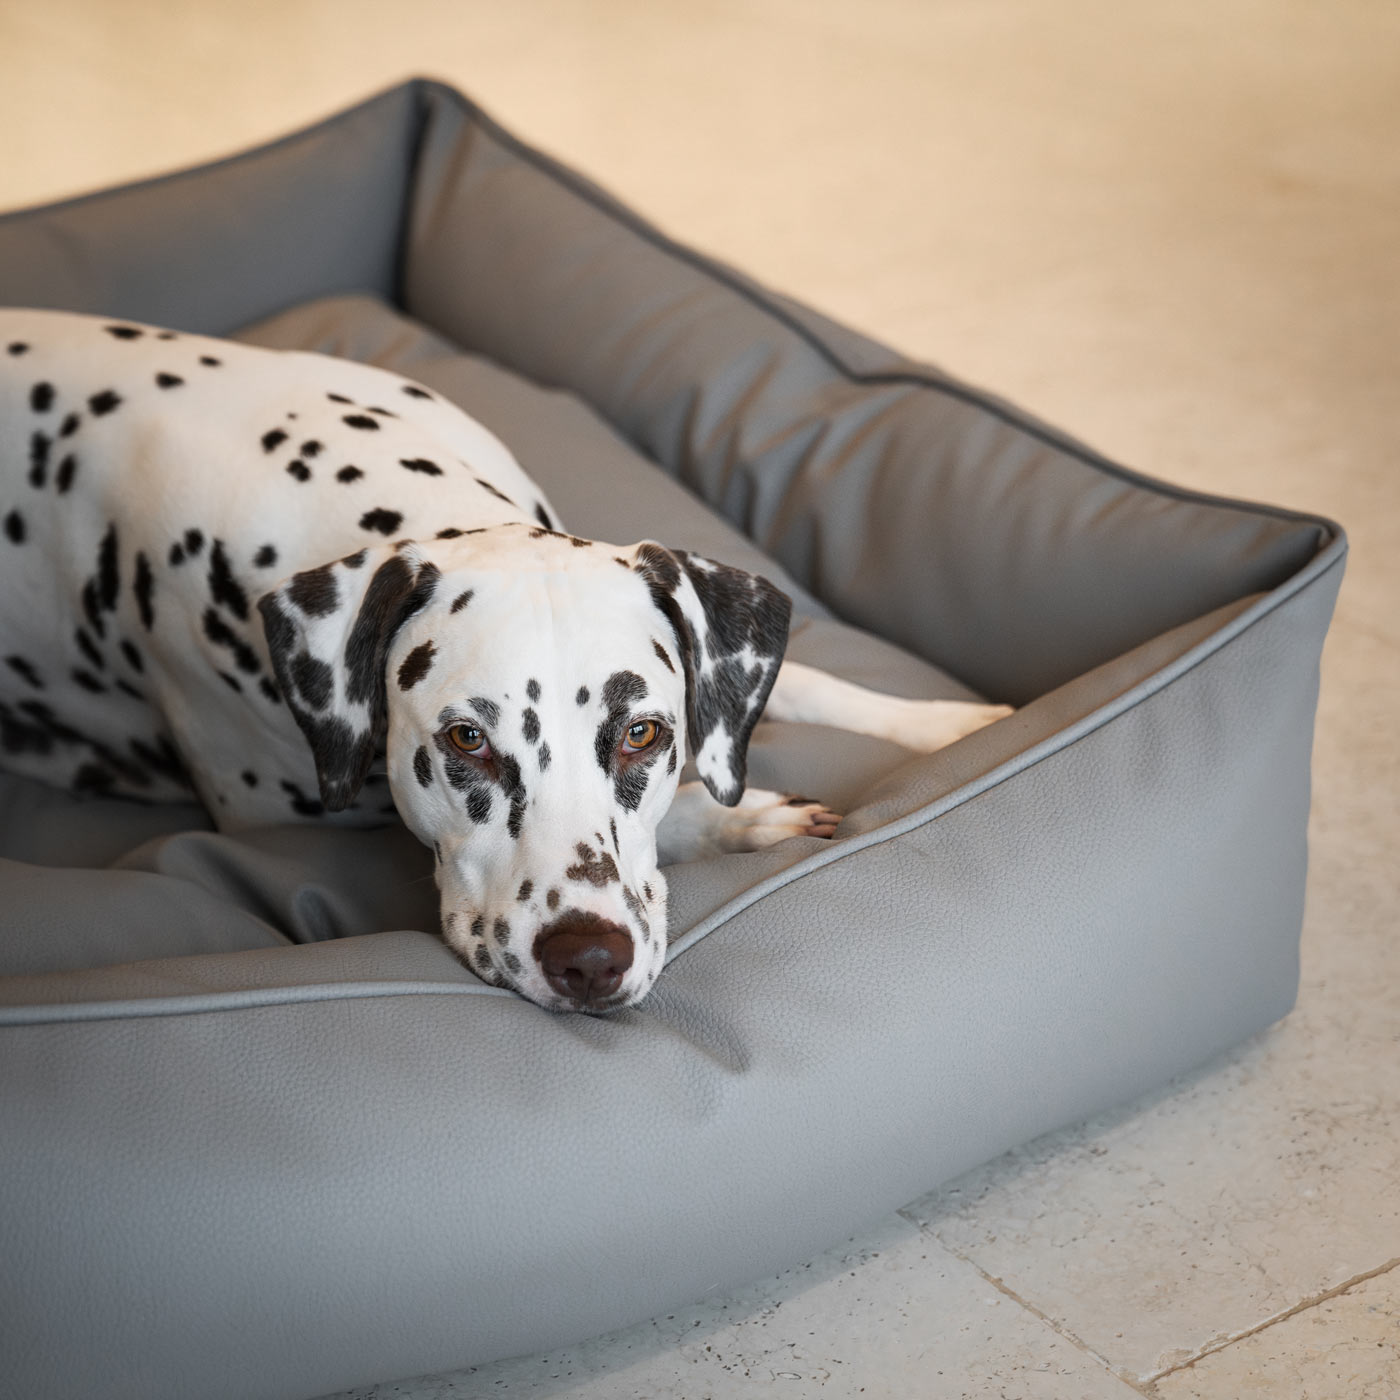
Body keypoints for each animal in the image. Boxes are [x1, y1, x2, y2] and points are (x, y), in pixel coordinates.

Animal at [0, 306, 1008, 1013]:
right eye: (465, 743)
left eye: (643, 733)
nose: (588, 960)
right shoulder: (278, 810)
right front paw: (740, 820)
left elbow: (799, 684)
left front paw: (948, 723)